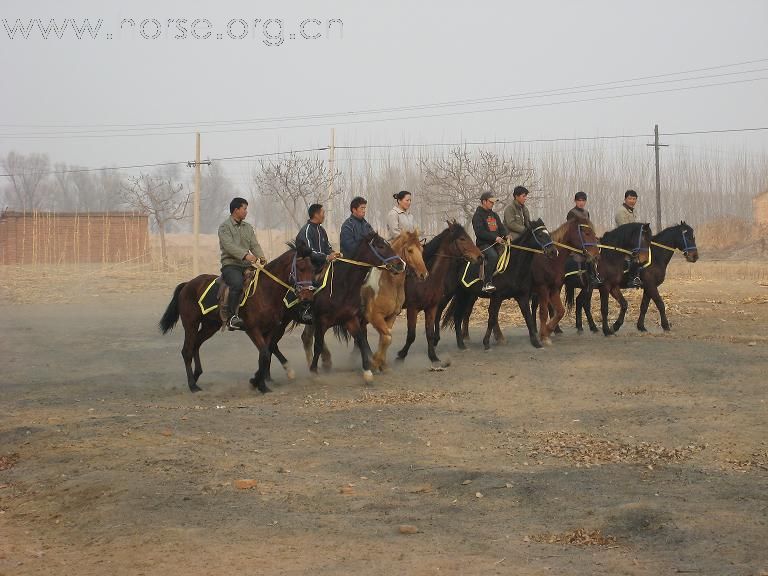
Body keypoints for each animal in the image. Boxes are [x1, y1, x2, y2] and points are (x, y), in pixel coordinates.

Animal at [158, 245, 316, 394]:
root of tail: (188, 284)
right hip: (191, 324)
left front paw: (259, 384)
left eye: (312, 269)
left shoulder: (269, 329)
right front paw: (259, 384)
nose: (308, 298)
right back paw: (192, 385)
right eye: (301, 268)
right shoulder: (253, 329)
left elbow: (264, 355)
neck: (265, 292)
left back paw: (197, 376)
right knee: (187, 350)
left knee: (196, 345)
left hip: (210, 326)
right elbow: (265, 354)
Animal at [362, 231, 428, 374]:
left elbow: (385, 338)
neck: (389, 283)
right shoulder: (375, 316)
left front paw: (383, 365)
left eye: (422, 250)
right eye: (410, 250)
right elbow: (387, 338)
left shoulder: (391, 316)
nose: (424, 275)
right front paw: (374, 363)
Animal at [396, 220, 480, 368]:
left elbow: (429, 333)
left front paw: (433, 357)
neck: (426, 279)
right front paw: (401, 355)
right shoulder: (412, 309)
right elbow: (411, 335)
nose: (480, 257)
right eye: (462, 238)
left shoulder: (431, 308)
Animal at [440, 217, 556, 348]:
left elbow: (528, 318)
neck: (512, 265)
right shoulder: (497, 297)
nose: (553, 251)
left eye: (548, 233)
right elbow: (492, 319)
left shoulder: (522, 296)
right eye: (540, 235)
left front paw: (536, 342)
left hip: (469, 294)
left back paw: (463, 339)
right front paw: (486, 342)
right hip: (454, 294)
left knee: (463, 314)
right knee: (451, 315)